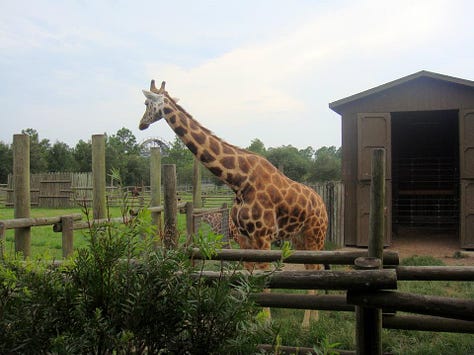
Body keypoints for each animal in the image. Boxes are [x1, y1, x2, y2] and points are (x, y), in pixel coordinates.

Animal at [139, 79, 328, 326]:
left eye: (145, 103)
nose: (141, 124)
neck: (239, 181)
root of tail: (322, 205)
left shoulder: (262, 237)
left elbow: (263, 280)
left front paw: (266, 324)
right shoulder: (245, 238)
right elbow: (249, 278)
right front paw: (248, 321)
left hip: (316, 234)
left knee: (315, 268)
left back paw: (306, 324)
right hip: (299, 237)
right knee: (312, 268)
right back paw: (315, 318)